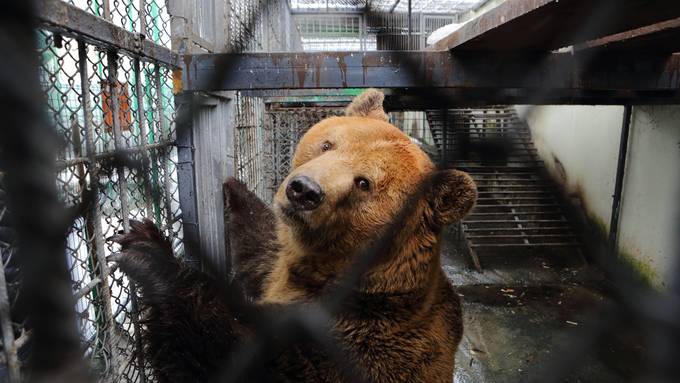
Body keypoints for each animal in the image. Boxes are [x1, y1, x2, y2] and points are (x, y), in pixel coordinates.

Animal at [110, 88, 478, 382]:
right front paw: (233, 188)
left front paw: (148, 252)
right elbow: (261, 246)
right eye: (328, 144)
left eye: (364, 183)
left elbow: (242, 357)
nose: (303, 190)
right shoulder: (281, 266)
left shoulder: (359, 340)